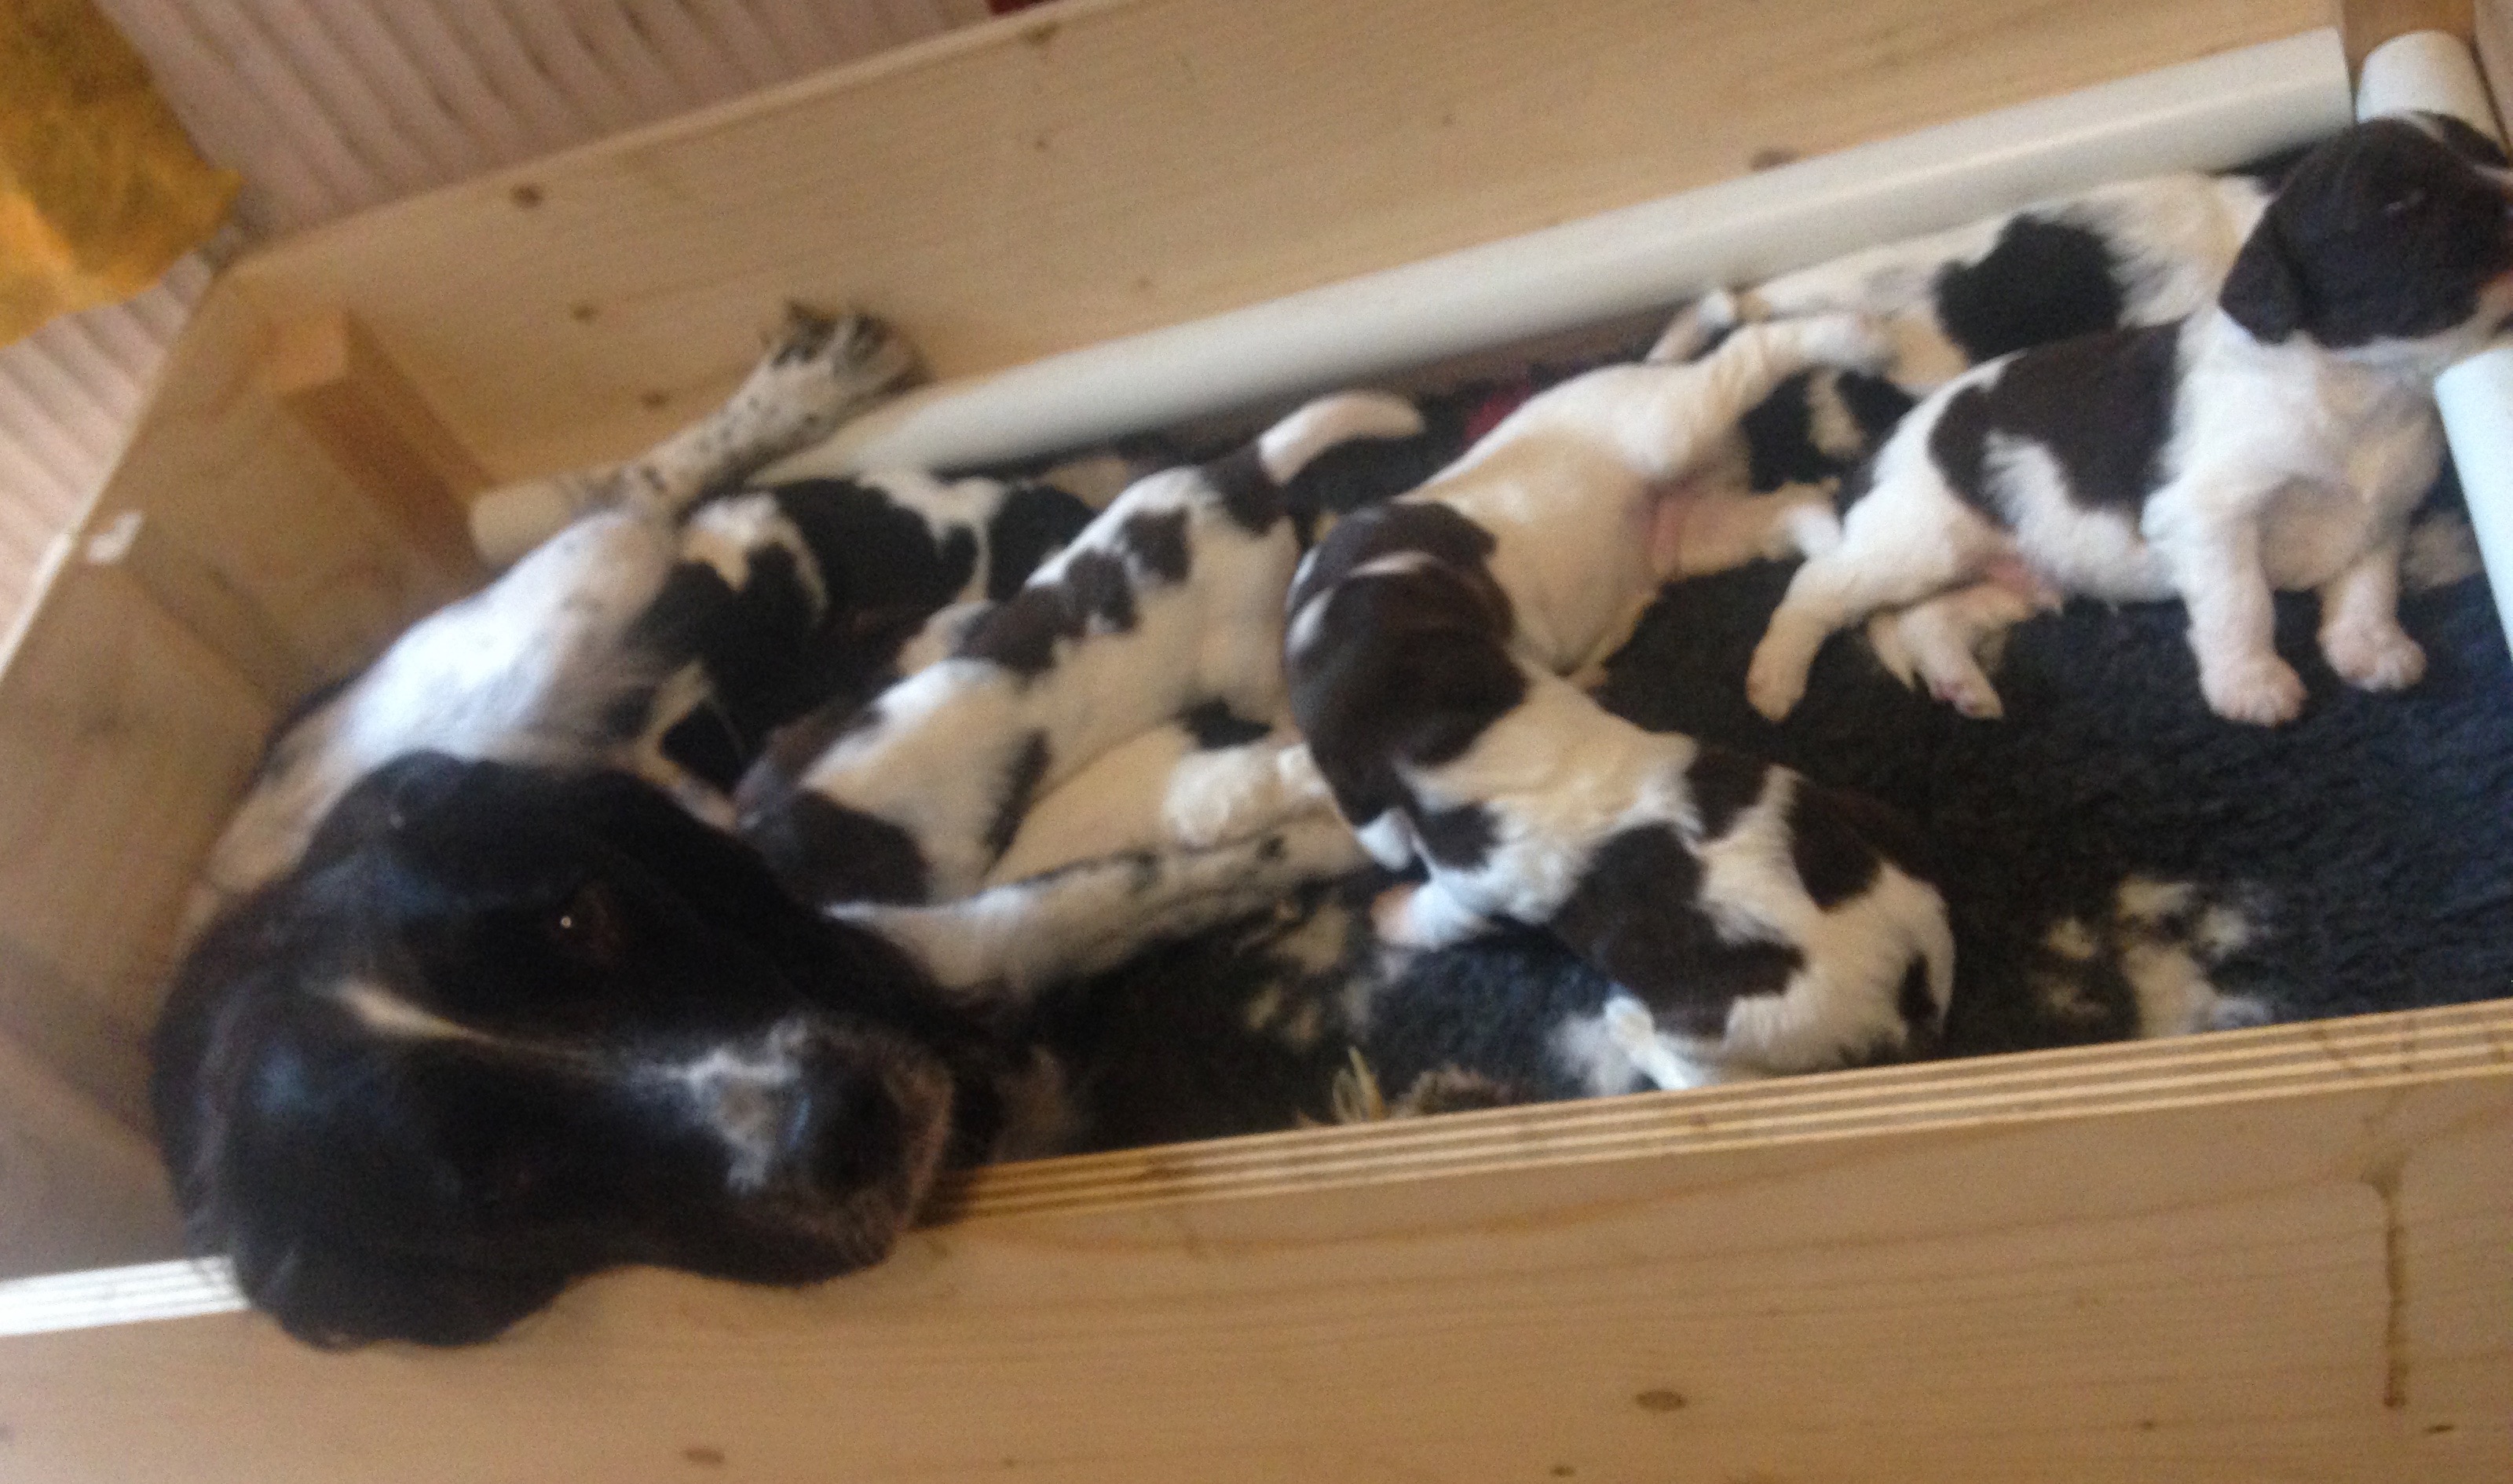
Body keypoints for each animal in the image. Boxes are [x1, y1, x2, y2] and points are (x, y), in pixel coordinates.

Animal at [1744, 115, 2513, 726]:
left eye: (2490, 150)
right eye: (2400, 201)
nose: (2511, 190)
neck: (2364, 387)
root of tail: (1869, 464)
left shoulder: (2379, 519)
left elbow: (2368, 590)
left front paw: (2370, 649)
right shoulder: (2209, 517)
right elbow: (2241, 604)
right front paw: (2252, 686)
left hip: (2010, 578)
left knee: (1930, 618)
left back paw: (1964, 684)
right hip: (1916, 543)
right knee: (1816, 589)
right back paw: (1775, 677)